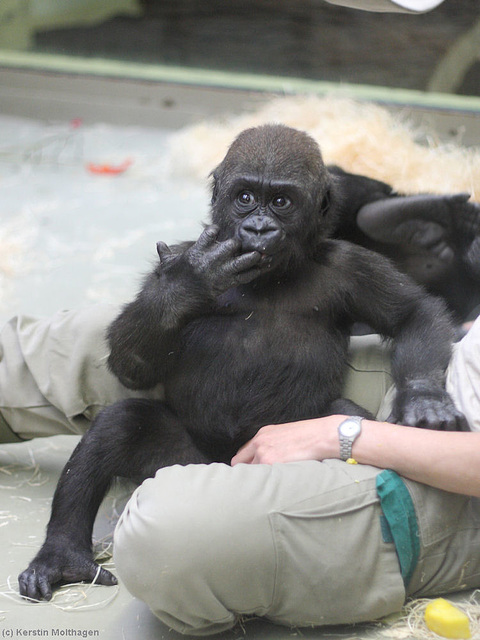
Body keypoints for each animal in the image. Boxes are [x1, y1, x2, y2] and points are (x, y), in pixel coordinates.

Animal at [17, 124, 464, 600]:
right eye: (245, 197)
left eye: (281, 202)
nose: (258, 227)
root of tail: (220, 464)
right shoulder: (174, 256)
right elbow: (131, 362)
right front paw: (189, 284)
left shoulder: (352, 266)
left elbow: (412, 314)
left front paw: (423, 397)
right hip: (180, 461)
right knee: (120, 425)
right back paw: (62, 553)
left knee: (341, 414)